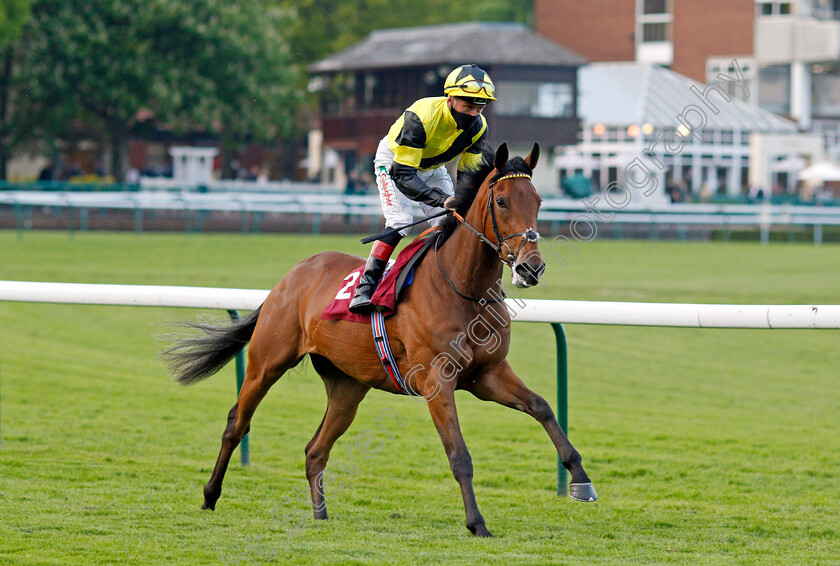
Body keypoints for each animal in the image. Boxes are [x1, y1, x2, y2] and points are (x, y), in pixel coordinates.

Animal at [164, 142, 596, 536]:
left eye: (538, 201)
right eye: (503, 201)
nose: (531, 267)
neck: (461, 287)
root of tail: (291, 276)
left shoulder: (487, 374)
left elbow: (542, 407)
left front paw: (581, 480)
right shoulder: (436, 381)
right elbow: (459, 455)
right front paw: (477, 524)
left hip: (347, 387)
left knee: (315, 450)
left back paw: (320, 515)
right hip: (267, 362)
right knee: (237, 423)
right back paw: (209, 496)